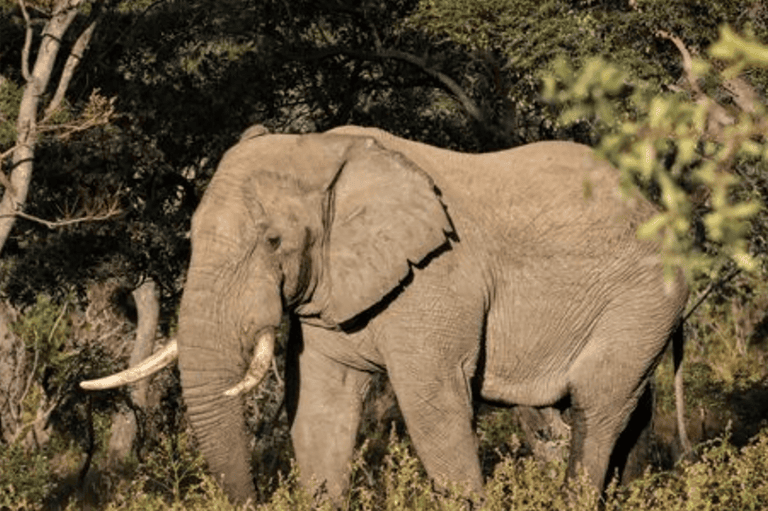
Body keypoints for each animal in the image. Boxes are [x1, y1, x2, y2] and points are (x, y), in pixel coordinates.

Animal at [82, 125, 690, 504]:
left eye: (274, 241)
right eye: (190, 238)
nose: (252, 499)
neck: (327, 151)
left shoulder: (436, 279)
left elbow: (433, 408)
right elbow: (319, 411)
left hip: (642, 298)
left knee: (596, 404)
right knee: (627, 409)